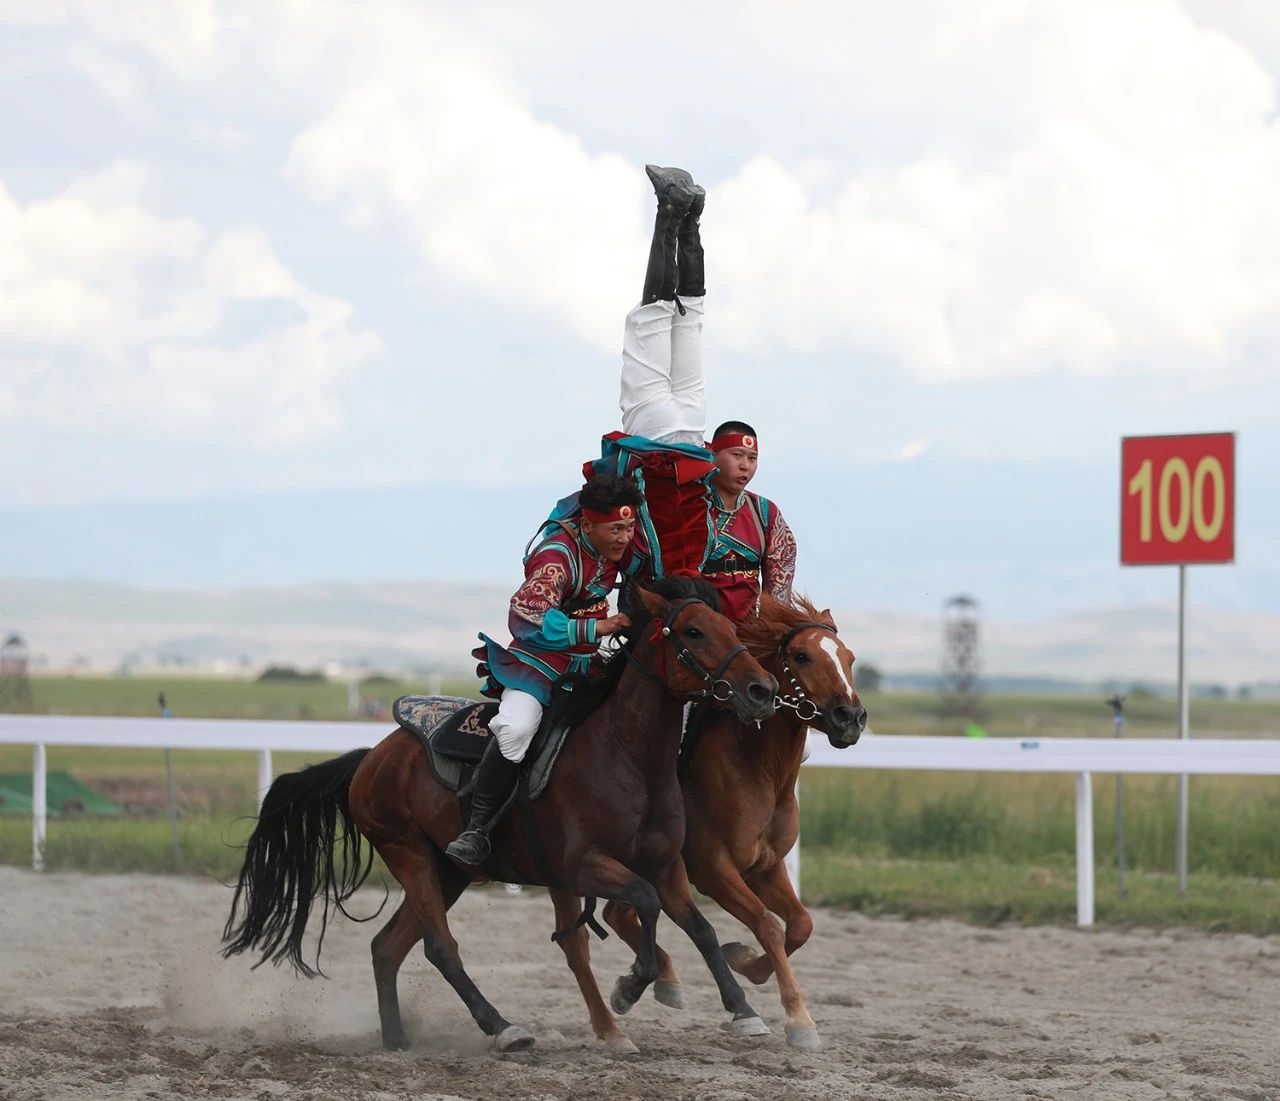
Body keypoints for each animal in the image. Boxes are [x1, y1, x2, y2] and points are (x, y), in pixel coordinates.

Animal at [221, 570, 773, 1054]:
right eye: (694, 631)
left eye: (733, 629)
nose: (762, 690)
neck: (626, 758)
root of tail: (372, 757)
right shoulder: (583, 867)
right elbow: (645, 902)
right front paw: (633, 985)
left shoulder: (666, 865)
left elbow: (701, 928)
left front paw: (743, 1011)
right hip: (410, 855)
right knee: (440, 947)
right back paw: (503, 1027)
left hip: (450, 871)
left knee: (387, 947)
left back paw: (396, 1038)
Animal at [550, 596, 870, 1054]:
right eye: (802, 656)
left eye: (849, 658)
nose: (851, 718)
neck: (760, 771)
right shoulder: (712, 869)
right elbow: (768, 925)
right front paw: (797, 1018)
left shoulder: (766, 868)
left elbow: (800, 924)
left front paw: (746, 963)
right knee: (615, 915)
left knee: (617, 913)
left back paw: (655, 980)